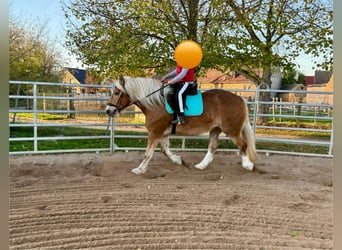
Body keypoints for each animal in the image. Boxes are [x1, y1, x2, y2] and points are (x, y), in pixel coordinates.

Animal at [105, 75, 255, 175]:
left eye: (117, 92)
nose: (108, 110)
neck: (155, 103)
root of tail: (240, 99)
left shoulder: (154, 132)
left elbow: (148, 153)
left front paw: (140, 169)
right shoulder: (162, 134)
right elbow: (165, 150)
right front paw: (178, 160)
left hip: (232, 130)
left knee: (243, 145)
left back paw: (248, 165)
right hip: (215, 129)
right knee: (212, 147)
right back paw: (201, 166)